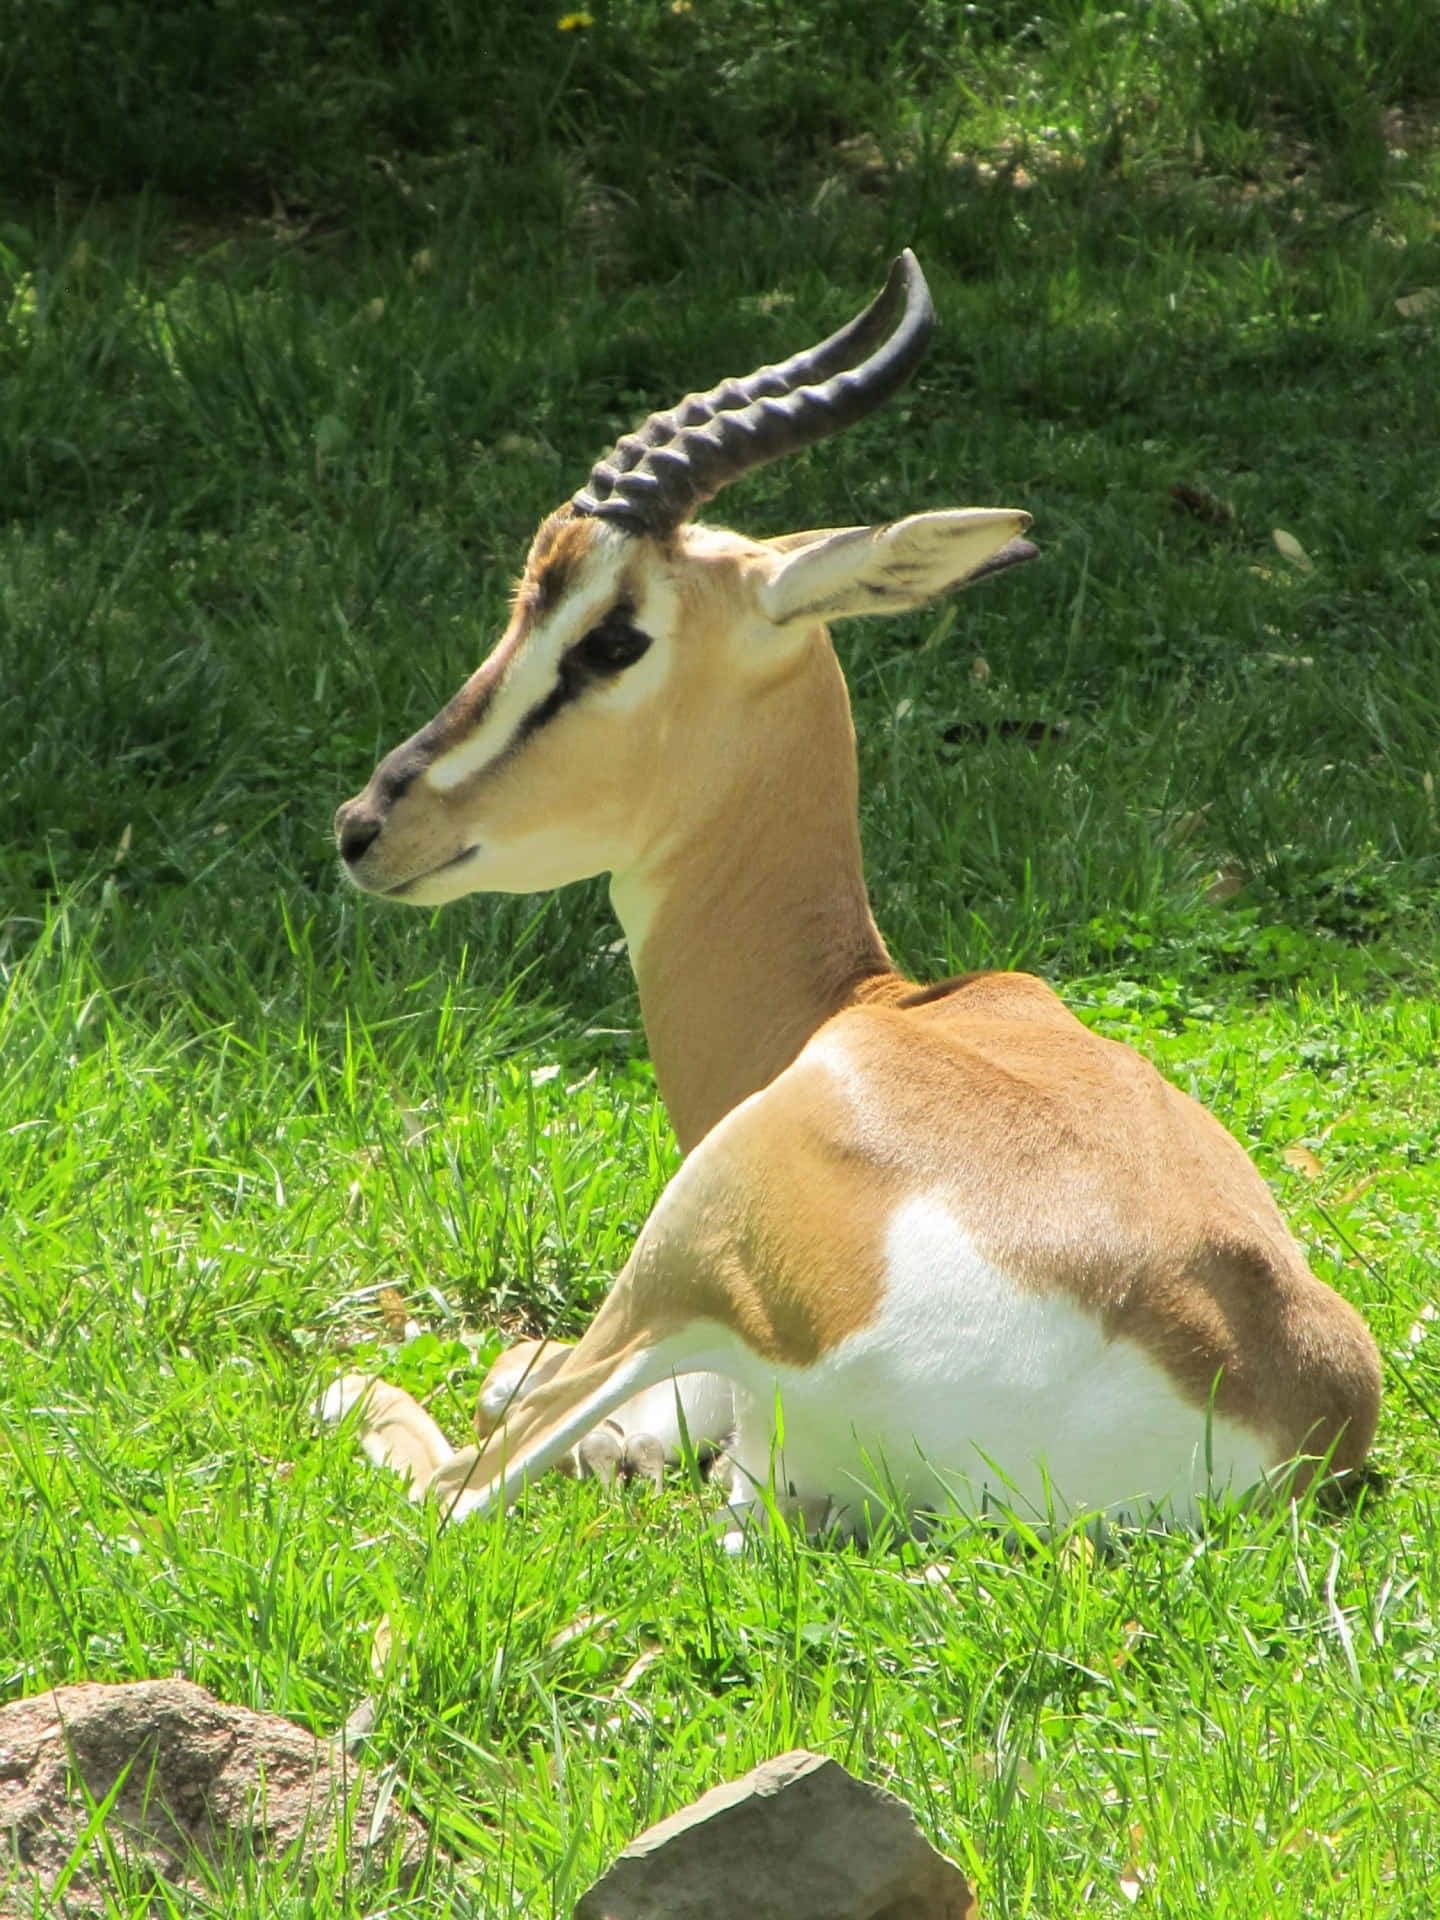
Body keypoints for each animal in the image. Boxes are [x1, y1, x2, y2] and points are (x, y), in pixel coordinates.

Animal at [328, 253, 1381, 1539]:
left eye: (612, 640)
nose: (368, 826)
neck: (858, 1008)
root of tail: (1243, 1423)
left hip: (678, 1262)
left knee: (464, 1481)